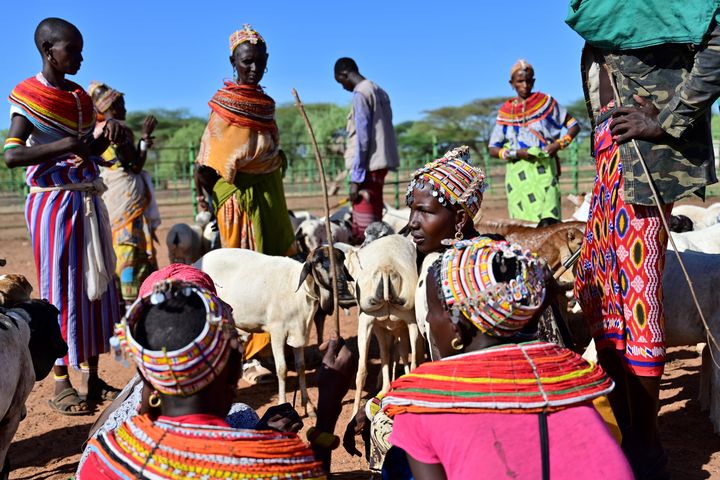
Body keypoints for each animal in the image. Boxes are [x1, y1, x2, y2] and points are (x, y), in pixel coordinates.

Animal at [195, 248, 356, 416]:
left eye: (342, 260)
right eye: (319, 262)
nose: (342, 284)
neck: (299, 292)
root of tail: (198, 261)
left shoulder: (299, 331)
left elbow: (300, 367)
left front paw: (308, 406)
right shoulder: (278, 332)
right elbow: (282, 369)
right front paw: (282, 403)